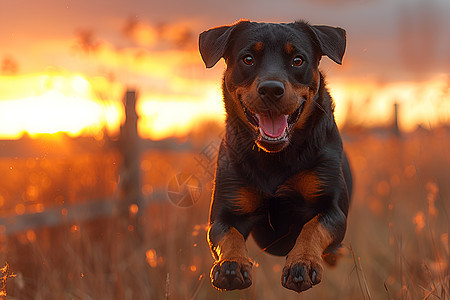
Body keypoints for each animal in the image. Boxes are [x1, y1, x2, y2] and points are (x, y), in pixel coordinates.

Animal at [200, 20, 352, 292]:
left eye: (298, 60)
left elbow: (313, 228)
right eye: (248, 59)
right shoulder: (225, 211)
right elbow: (228, 234)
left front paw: (302, 263)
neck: (276, 158)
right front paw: (231, 264)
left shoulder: (333, 208)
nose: (271, 89)